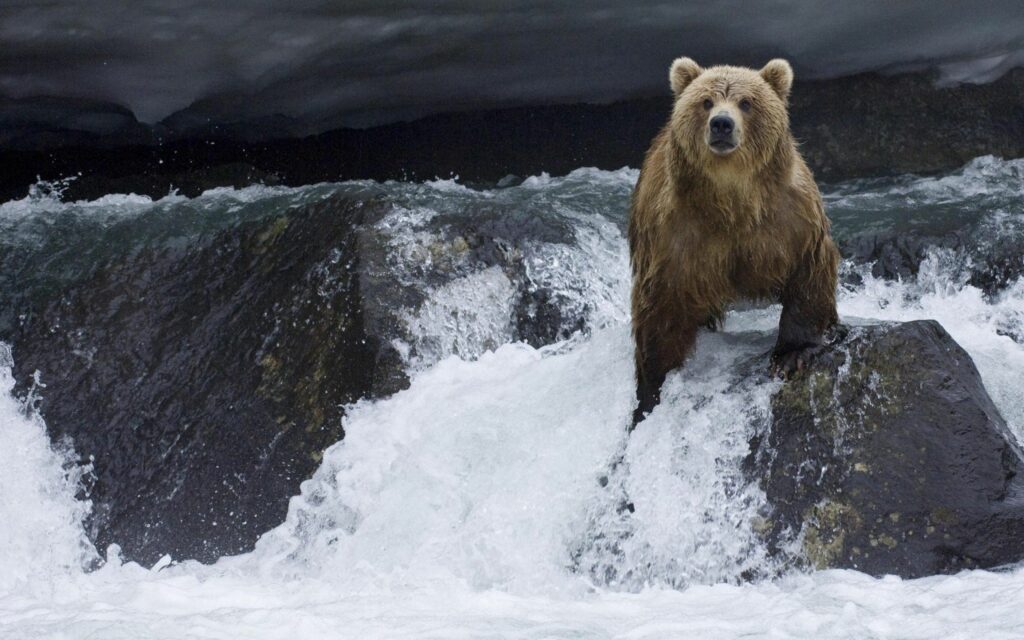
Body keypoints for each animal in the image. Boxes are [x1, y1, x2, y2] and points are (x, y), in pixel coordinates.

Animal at [629, 57, 840, 427]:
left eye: (746, 102)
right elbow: (660, 307)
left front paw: (792, 354)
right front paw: (651, 388)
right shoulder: (674, 235)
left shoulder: (789, 218)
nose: (722, 124)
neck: (731, 200)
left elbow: (808, 273)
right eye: (706, 101)